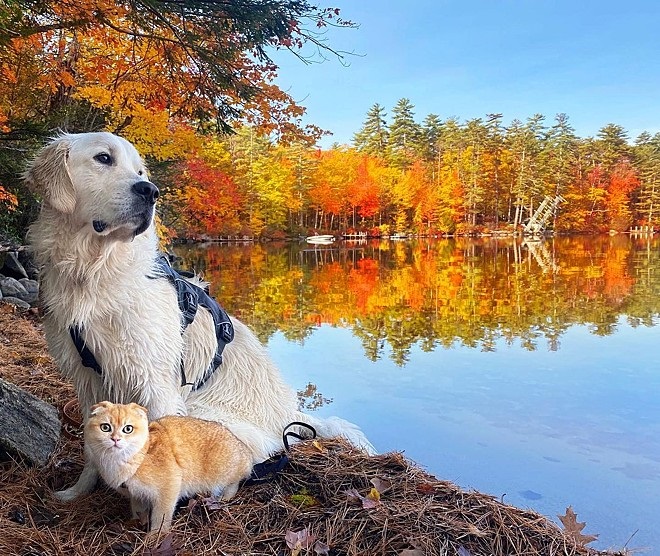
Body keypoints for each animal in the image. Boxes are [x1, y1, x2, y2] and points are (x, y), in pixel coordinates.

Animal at [24, 132, 376, 502]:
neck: (94, 271)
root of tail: (286, 413)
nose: (150, 191)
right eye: (103, 158)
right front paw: (76, 492)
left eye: (139, 170)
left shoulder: (157, 383)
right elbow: (92, 448)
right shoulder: (87, 380)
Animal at [84, 402, 254, 532]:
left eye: (128, 429)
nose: (115, 439)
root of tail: (245, 450)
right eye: (105, 427)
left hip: (221, 471)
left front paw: (155, 537)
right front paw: (137, 523)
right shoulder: (136, 495)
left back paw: (225, 496)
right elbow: (138, 509)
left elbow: (161, 516)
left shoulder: (168, 488)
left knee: (235, 481)